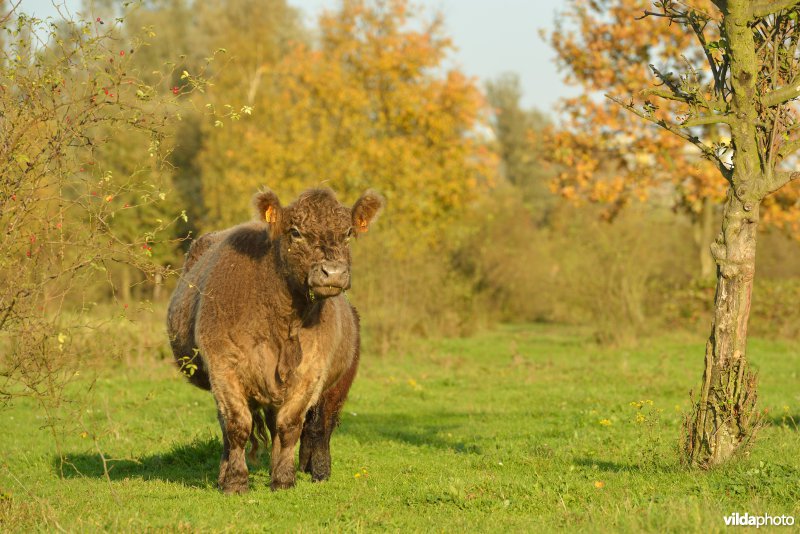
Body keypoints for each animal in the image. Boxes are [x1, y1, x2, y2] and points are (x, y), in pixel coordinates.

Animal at [166, 188, 384, 494]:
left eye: (348, 233)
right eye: (295, 232)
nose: (333, 272)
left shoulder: (311, 372)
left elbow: (290, 426)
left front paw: (283, 479)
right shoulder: (223, 366)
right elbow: (237, 426)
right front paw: (235, 481)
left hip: (339, 383)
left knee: (320, 426)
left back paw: (318, 471)